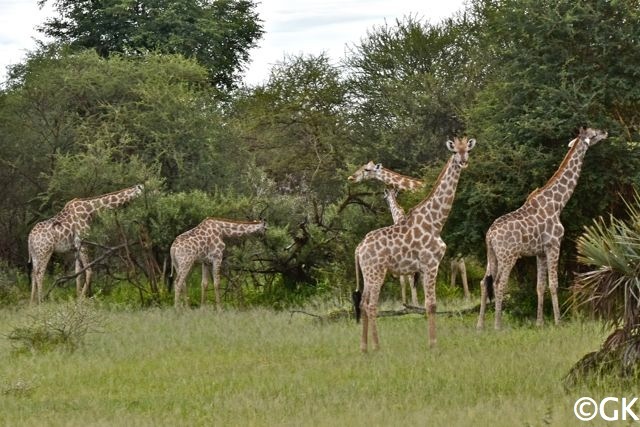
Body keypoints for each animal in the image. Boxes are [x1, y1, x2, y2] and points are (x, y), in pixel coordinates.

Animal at [350, 137, 476, 352]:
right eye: (454, 152)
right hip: (376, 272)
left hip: (368, 273)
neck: (435, 222)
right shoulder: (430, 264)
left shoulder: (424, 267)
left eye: (467, 150)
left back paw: (364, 347)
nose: (463, 162)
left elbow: (428, 303)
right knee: (371, 305)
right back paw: (377, 347)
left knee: (363, 304)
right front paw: (434, 345)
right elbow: (431, 304)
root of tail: (359, 248)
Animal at [478, 127, 608, 332]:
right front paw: (558, 321)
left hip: (491, 255)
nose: (605, 132)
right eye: (594, 134)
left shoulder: (539, 252)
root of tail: (490, 235)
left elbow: (540, 286)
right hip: (508, 256)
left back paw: (480, 325)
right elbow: (554, 284)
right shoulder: (554, 245)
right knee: (499, 283)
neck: (558, 203)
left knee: (484, 282)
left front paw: (539, 323)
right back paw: (498, 325)